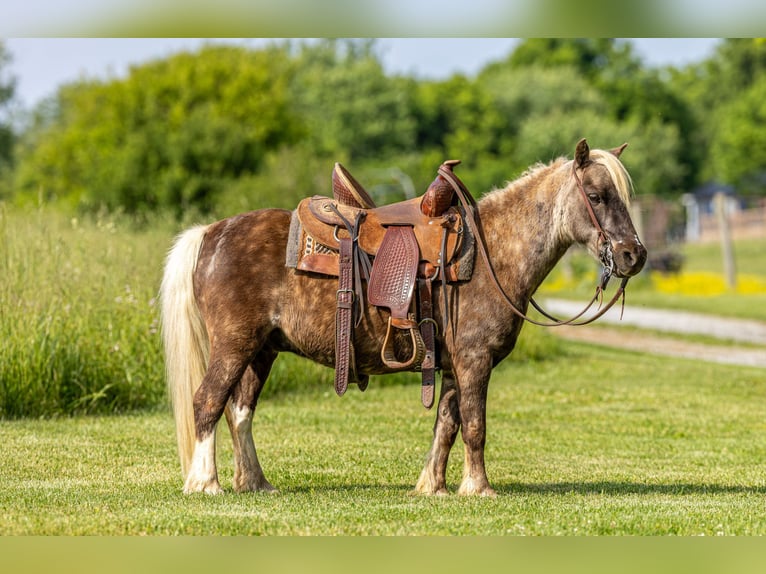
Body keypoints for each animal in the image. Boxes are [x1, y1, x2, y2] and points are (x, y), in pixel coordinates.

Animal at [160, 139, 647, 496]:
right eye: (597, 196)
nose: (633, 255)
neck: (493, 255)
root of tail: (211, 233)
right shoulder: (475, 362)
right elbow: (474, 425)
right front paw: (478, 488)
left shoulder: (452, 366)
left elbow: (446, 425)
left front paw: (432, 487)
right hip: (234, 343)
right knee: (207, 402)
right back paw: (205, 484)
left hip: (262, 350)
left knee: (239, 411)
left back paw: (255, 483)